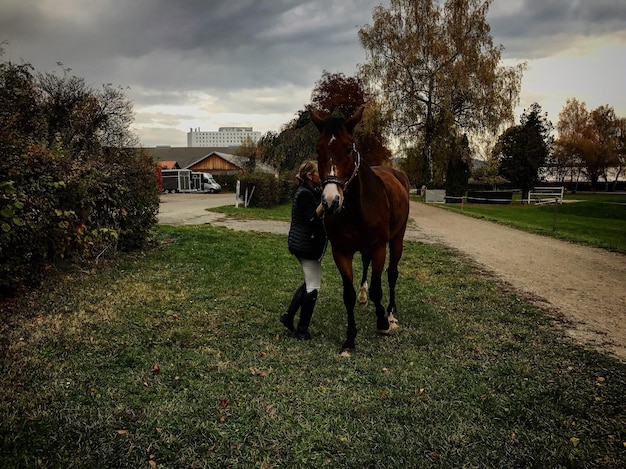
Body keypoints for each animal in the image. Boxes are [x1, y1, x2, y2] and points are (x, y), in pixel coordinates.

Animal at [308, 106, 410, 352]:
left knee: (392, 274)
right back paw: (364, 298)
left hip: (397, 240)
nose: (330, 201)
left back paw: (391, 313)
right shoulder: (341, 251)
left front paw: (382, 322)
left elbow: (377, 288)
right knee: (365, 265)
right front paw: (350, 338)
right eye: (318, 148)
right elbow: (348, 294)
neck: (355, 207)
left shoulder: (379, 247)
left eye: (348, 147)